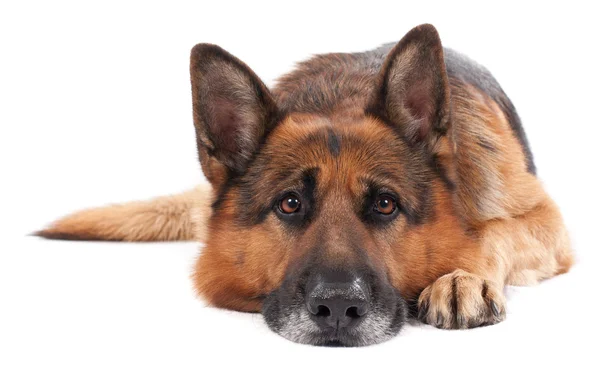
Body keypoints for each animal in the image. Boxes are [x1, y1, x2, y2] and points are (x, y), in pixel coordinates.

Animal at [37, 24, 572, 346]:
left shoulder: (549, 226)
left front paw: (462, 276)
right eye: (289, 203)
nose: (337, 308)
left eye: (385, 204)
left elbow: (494, 232)